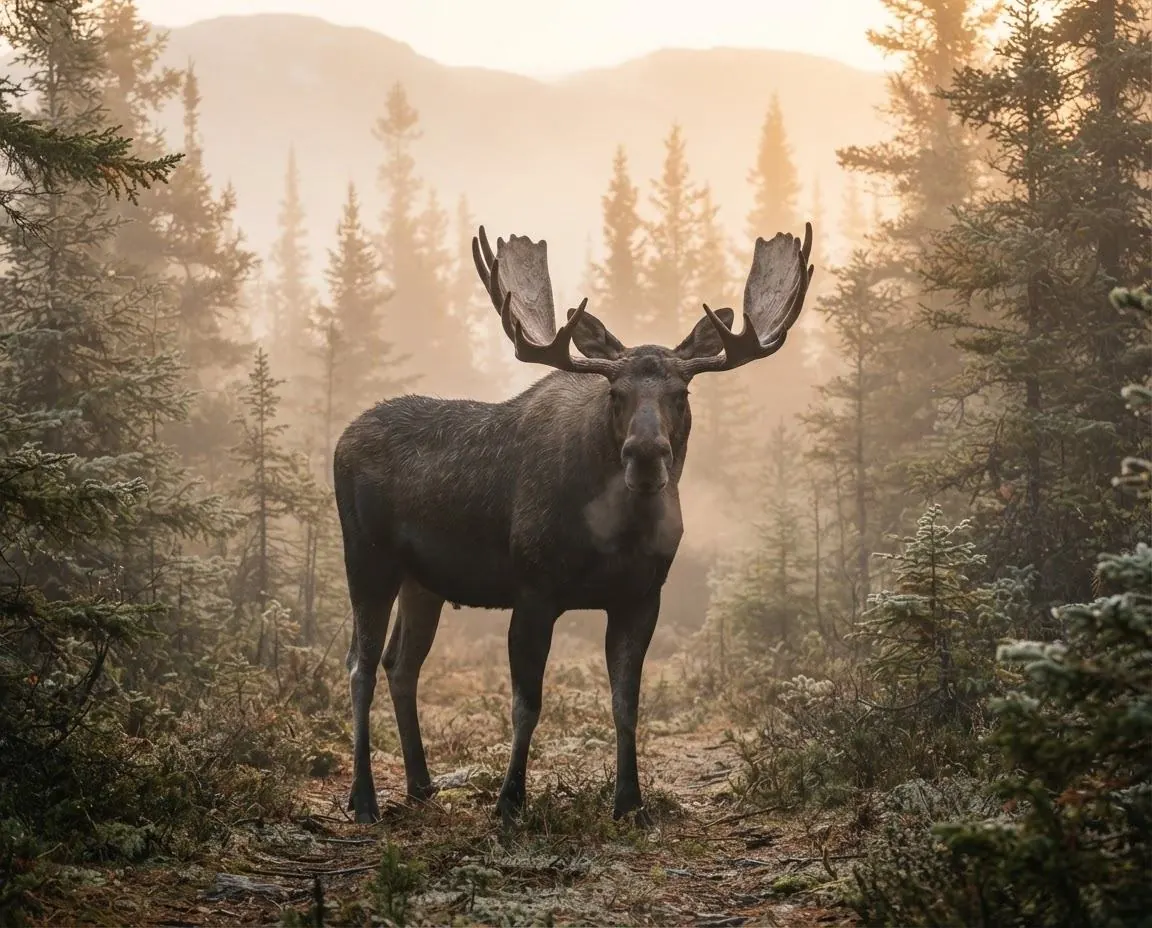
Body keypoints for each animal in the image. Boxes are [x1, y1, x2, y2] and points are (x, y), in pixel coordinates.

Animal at [333, 221, 814, 824]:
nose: (645, 455)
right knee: (359, 665)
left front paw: (630, 802)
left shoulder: (641, 598)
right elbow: (526, 704)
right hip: (367, 559)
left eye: (681, 393)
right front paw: (509, 801)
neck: (615, 534)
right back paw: (364, 799)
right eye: (616, 392)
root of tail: (341, 439)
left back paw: (422, 784)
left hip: (425, 582)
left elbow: (626, 704)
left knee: (401, 664)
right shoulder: (533, 591)